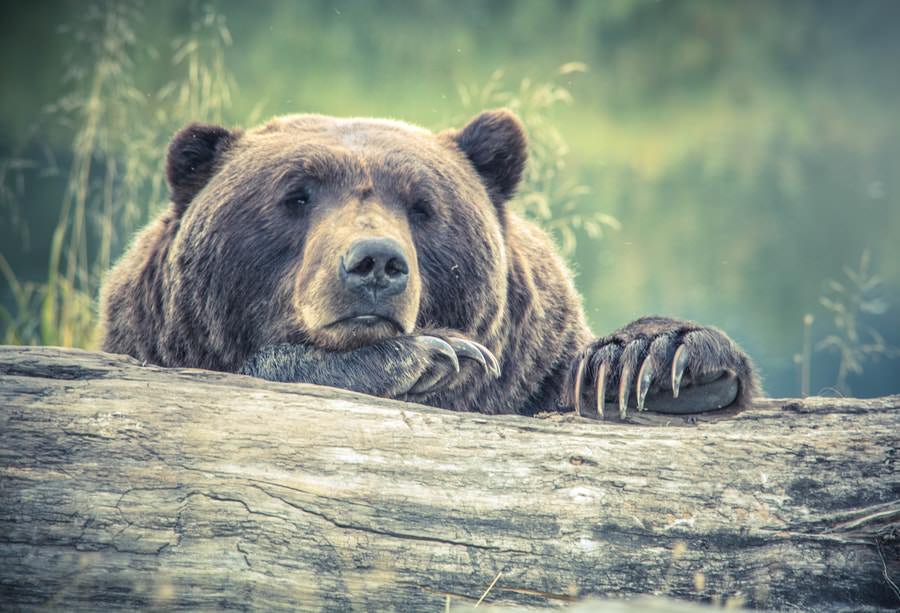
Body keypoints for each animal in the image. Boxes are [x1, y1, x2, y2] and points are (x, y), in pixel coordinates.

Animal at [100, 109, 760, 416]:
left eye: (421, 205)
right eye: (296, 195)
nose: (375, 262)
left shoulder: (533, 368)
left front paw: (652, 361)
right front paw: (430, 354)